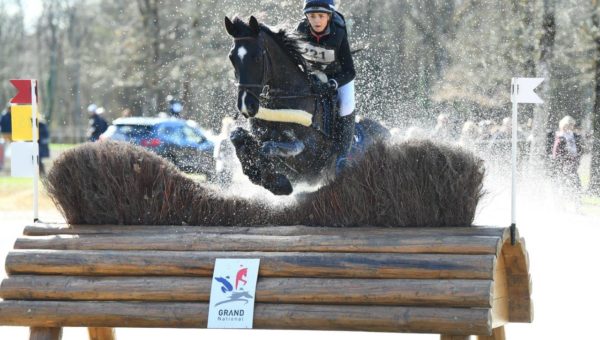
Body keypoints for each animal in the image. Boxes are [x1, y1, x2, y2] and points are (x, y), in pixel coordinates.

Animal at [225, 15, 390, 195]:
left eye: (256, 57)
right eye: (232, 58)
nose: (245, 105)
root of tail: (385, 131)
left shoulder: (309, 156)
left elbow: (270, 147)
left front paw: (277, 182)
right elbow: (237, 135)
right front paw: (260, 174)